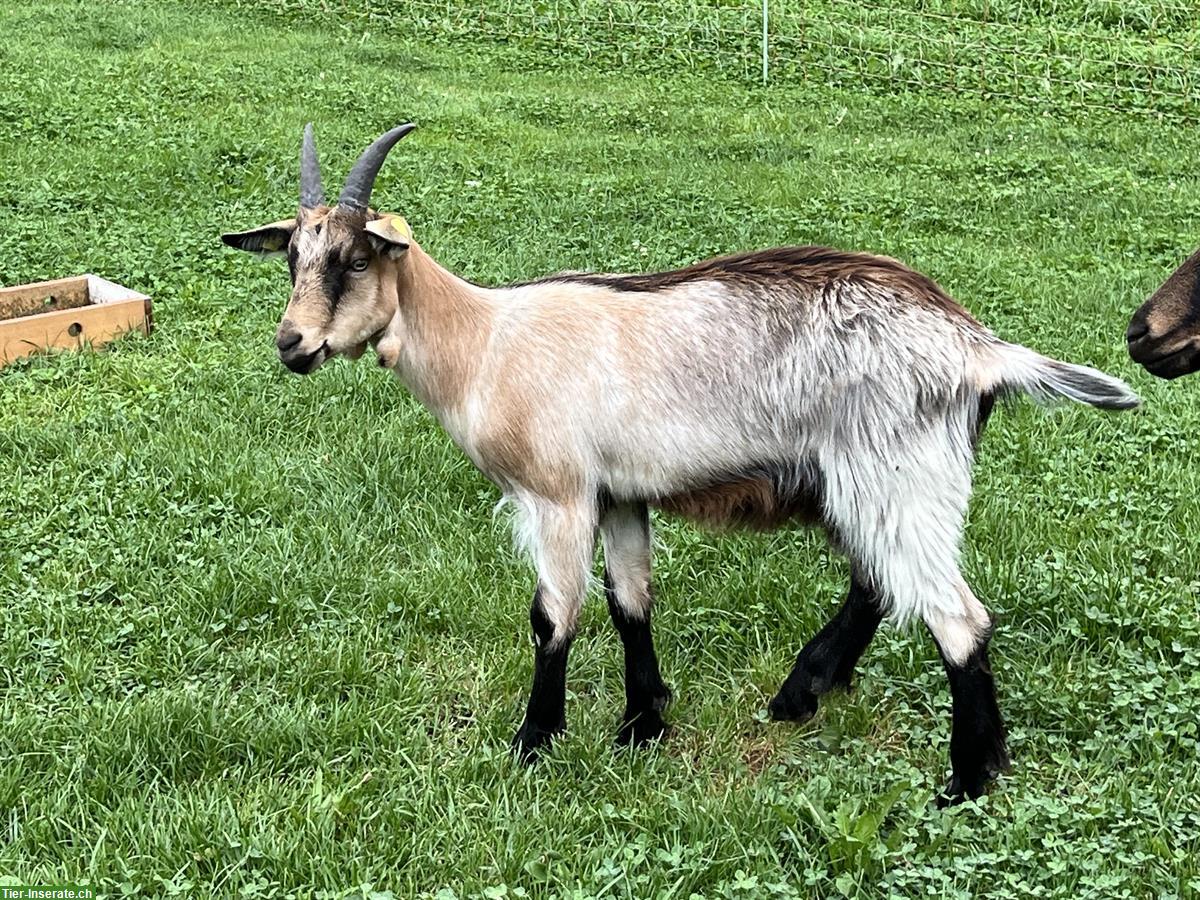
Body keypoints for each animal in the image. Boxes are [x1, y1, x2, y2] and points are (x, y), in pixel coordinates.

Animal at [220, 123, 1137, 806]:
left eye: (354, 259)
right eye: (293, 258)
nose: (292, 344)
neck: (485, 342)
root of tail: (976, 348)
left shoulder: (559, 493)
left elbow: (554, 616)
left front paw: (534, 742)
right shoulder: (621, 494)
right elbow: (631, 601)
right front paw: (643, 724)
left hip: (898, 477)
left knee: (956, 617)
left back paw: (966, 780)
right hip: (868, 485)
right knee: (879, 586)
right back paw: (805, 696)